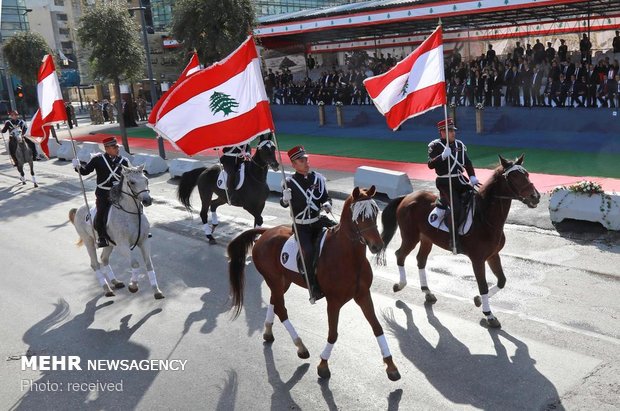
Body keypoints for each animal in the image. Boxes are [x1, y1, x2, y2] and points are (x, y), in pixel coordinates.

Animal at [68, 165, 165, 300]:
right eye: (132, 182)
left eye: (146, 180)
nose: (147, 200)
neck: (131, 215)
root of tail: (79, 209)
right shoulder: (123, 245)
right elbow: (135, 264)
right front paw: (133, 286)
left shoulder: (144, 242)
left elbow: (149, 264)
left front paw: (157, 291)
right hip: (89, 242)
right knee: (95, 264)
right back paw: (107, 289)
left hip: (108, 244)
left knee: (104, 259)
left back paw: (115, 282)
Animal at [229, 187, 402, 384]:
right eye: (359, 216)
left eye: (374, 213)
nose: (377, 245)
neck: (348, 257)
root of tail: (266, 232)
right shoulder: (334, 302)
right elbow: (333, 334)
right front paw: (323, 365)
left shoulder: (363, 295)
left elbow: (377, 328)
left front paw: (391, 366)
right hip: (274, 280)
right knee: (281, 309)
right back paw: (300, 347)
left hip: (282, 282)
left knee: (274, 302)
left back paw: (268, 332)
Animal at [376, 154, 540, 328]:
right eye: (514, 177)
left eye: (527, 174)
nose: (535, 197)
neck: (485, 217)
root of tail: (407, 197)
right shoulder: (478, 260)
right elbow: (483, 286)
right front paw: (489, 315)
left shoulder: (493, 255)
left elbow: (501, 281)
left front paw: (478, 300)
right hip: (410, 237)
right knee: (400, 255)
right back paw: (400, 285)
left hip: (426, 239)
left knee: (420, 260)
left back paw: (427, 291)